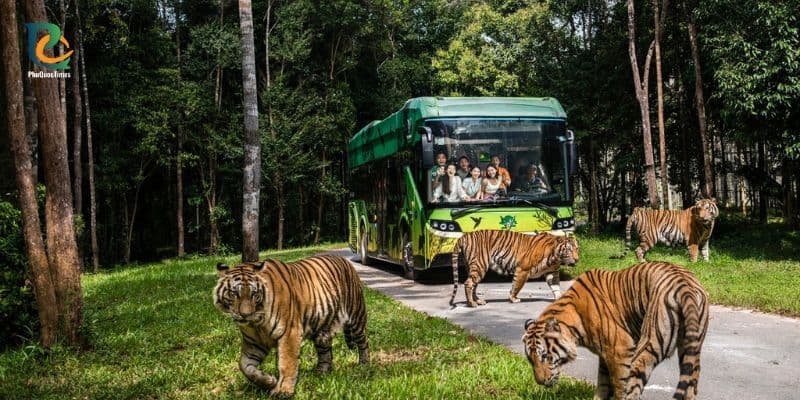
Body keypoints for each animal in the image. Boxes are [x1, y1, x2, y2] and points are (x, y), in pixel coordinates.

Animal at [213, 255, 369, 397]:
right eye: (234, 293)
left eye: (254, 294)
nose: (245, 314)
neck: (257, 323)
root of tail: (344, 259)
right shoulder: (254, 343)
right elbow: (244, 366)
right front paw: (269, 381)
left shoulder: (289, 333)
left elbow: (287, 363)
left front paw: (283, 390)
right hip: (322, 330)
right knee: (325, 352)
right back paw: (320, 373)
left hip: (357, 316)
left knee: (363, 342)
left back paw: (364, 365)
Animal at [449, 231, 579, 308]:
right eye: (569, 250)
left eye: (577, 249)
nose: (577, 259)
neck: (555, 257)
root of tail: (464, 236)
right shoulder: (522, 270)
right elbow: (516, 286)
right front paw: (513, 299)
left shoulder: (552, 272)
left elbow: (556, 287)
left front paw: (559, 299)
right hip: (479, 266)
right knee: (468, 283)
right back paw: (472, 303)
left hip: (473, 267)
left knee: (473, 284)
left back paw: (478, 301)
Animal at [522, 261, 709, 400]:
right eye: (530, 359)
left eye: (545, 356)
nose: (540, 382)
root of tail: (684, 285)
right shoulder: (605, 354)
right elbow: (603, 384)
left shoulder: (620, 351)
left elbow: (619, 385)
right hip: (691, 349)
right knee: (691, 384)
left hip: (649, 344)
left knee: (634, 386)